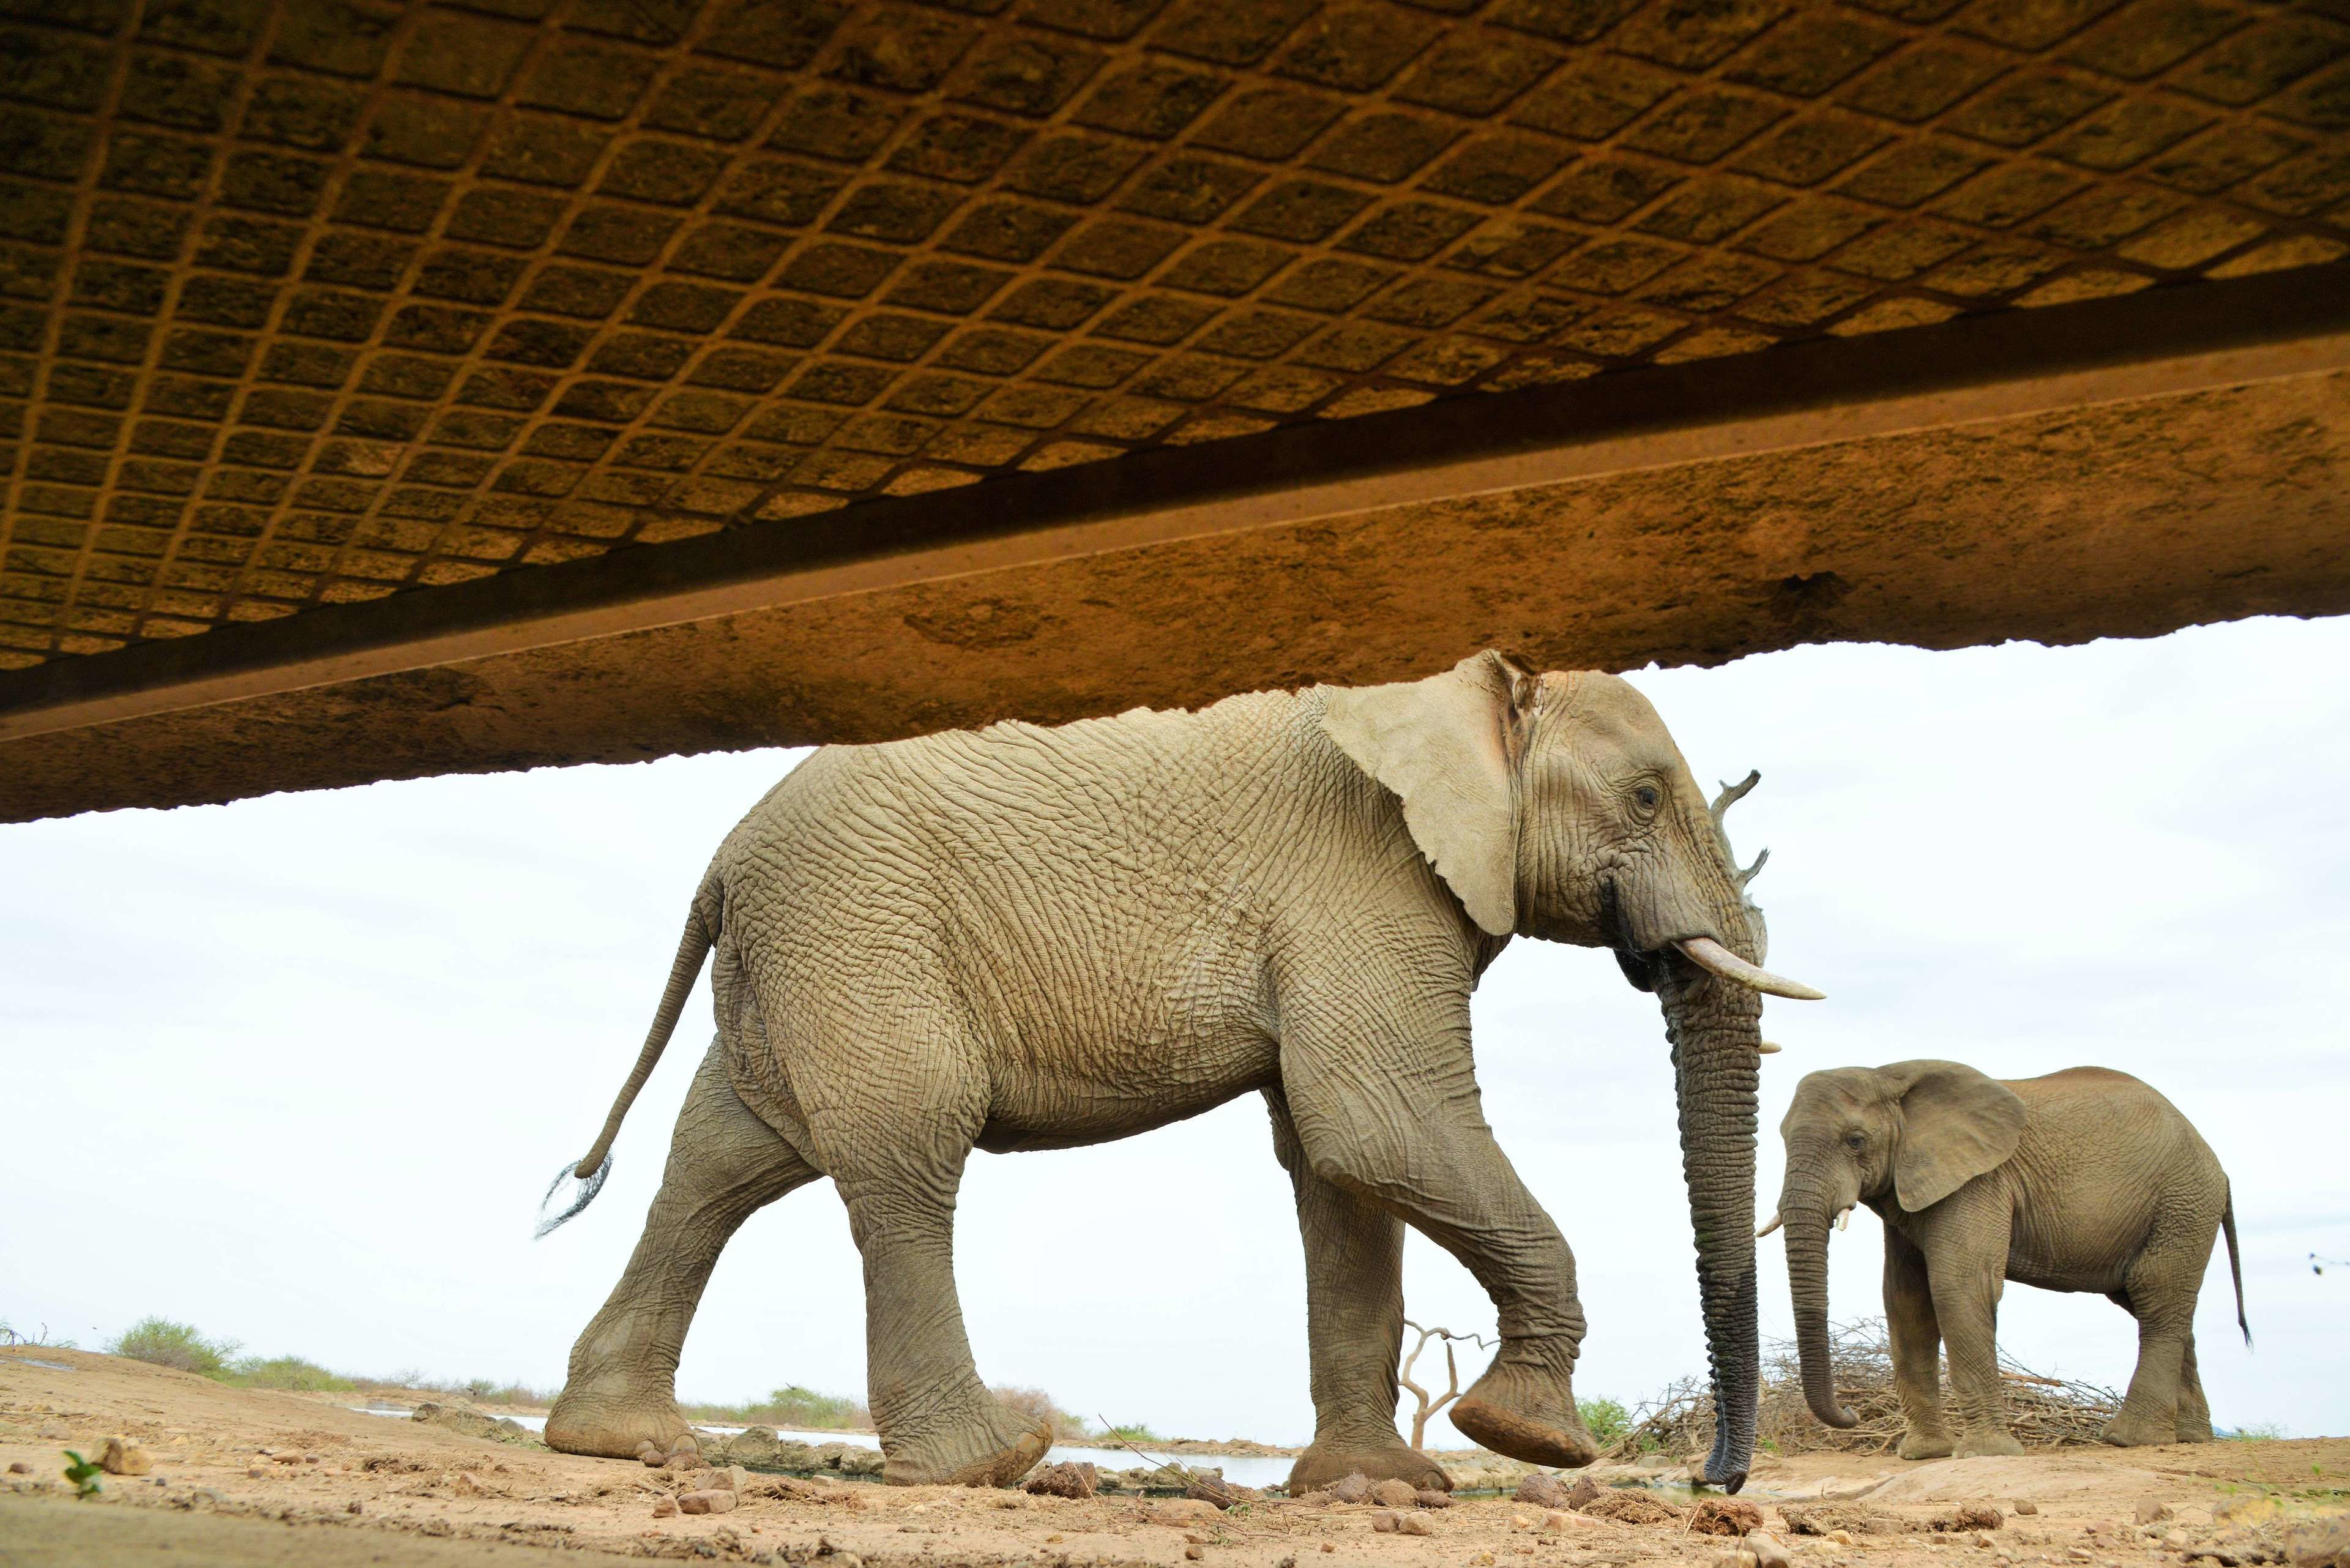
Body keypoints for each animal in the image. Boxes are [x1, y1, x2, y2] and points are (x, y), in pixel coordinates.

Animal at [537, 651, 1822, 1492]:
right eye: (1645, 796)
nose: (1714, 1480)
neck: (1452, 693)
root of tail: (721, 862)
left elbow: (1337, 1162)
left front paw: (1376, 1489)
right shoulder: (1363, 873)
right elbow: (1372, 1116)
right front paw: (1529, 1435)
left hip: (800, 957)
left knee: (722, 1162)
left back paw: (621, 1441)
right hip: (858, 927)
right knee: (903, 1154)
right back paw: (989, 1461)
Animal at [1763, 1061, 2246, 1457]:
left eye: (1856, 1140)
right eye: (1782, 1139)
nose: (1853, 1413)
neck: (1888, 1074)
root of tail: (2219, 1169)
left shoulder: (1979, 1182)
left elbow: (1957, 1286)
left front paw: (1985, 1454)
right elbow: (1906, 1301)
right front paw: (1924, 1455)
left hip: (2182, 1204)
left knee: (2156, 1297)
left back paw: (2129, 1439)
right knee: (2156, 1306)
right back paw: (2191, 1438)